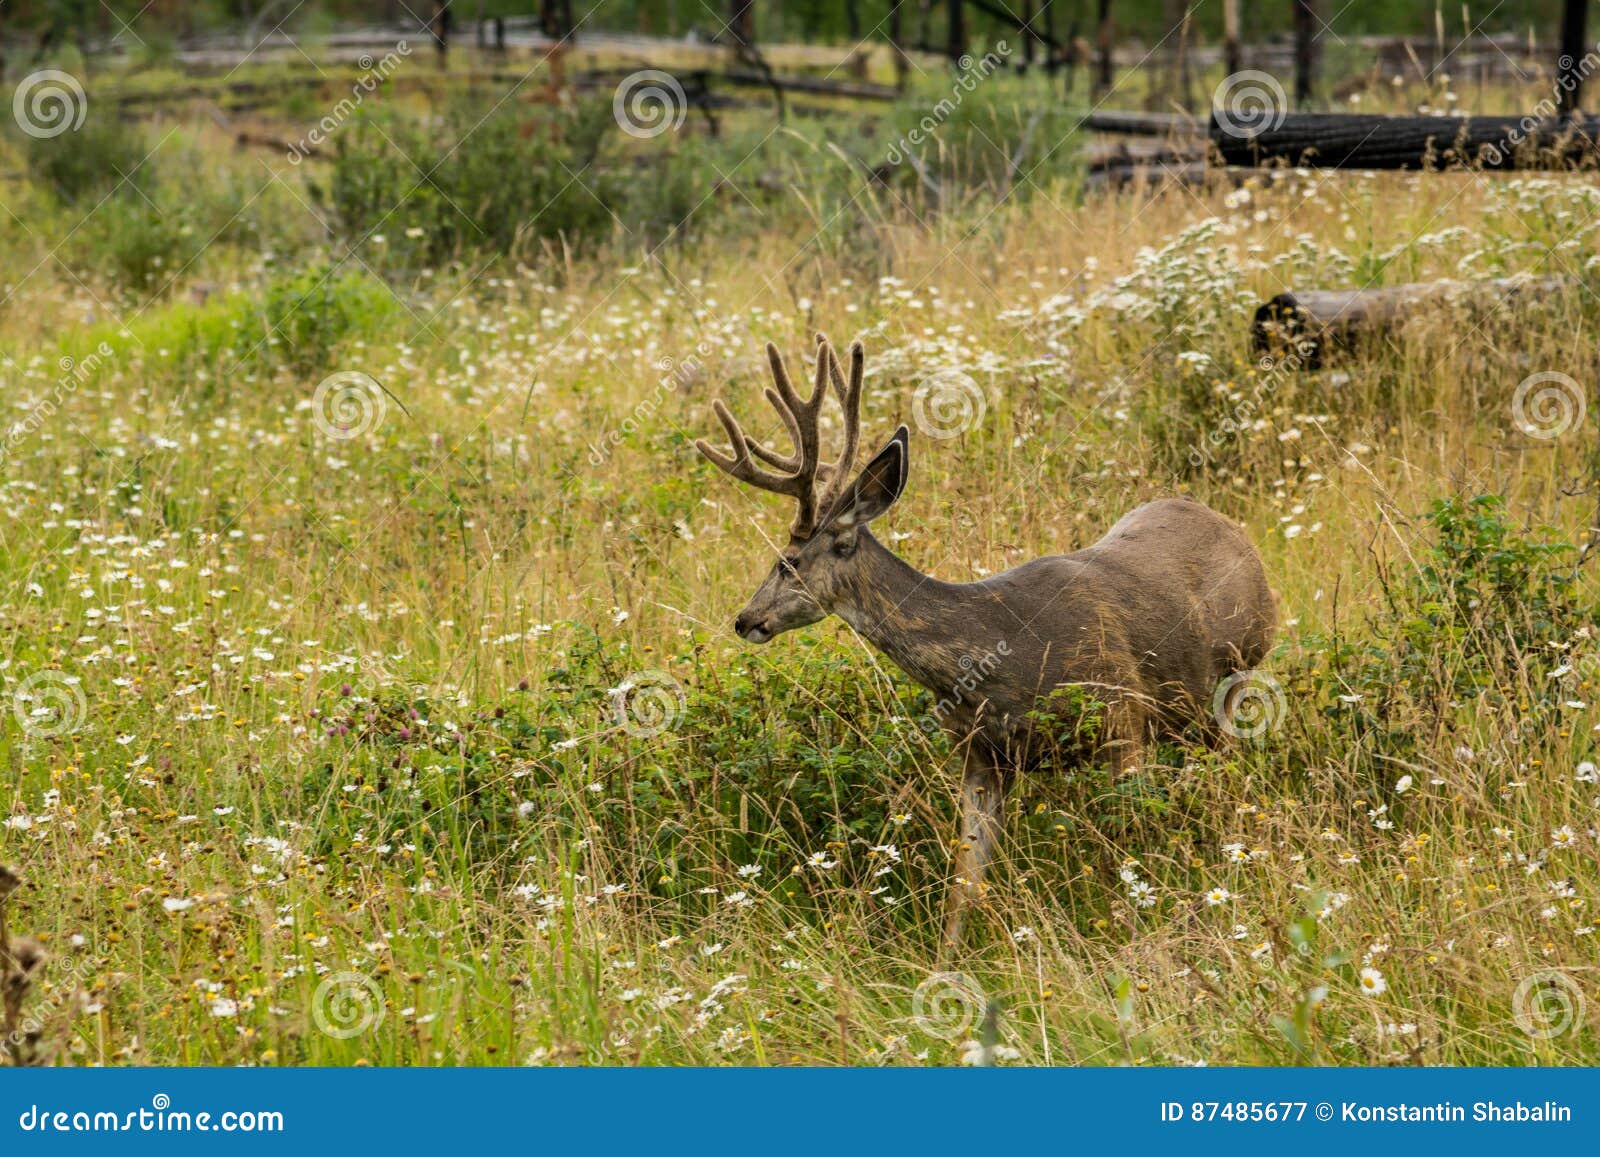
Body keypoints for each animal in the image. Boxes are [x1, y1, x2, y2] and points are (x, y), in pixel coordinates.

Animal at [696, 335, 1277, 948]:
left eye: (788, 562)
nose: (744, 619)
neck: (999, 655)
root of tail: (1235, 533)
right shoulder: (979, 756)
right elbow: (963, 884)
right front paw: (946, 959)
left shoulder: (1122, 716)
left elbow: (1129, 850)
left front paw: (1135, 930)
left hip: (1238, 671)